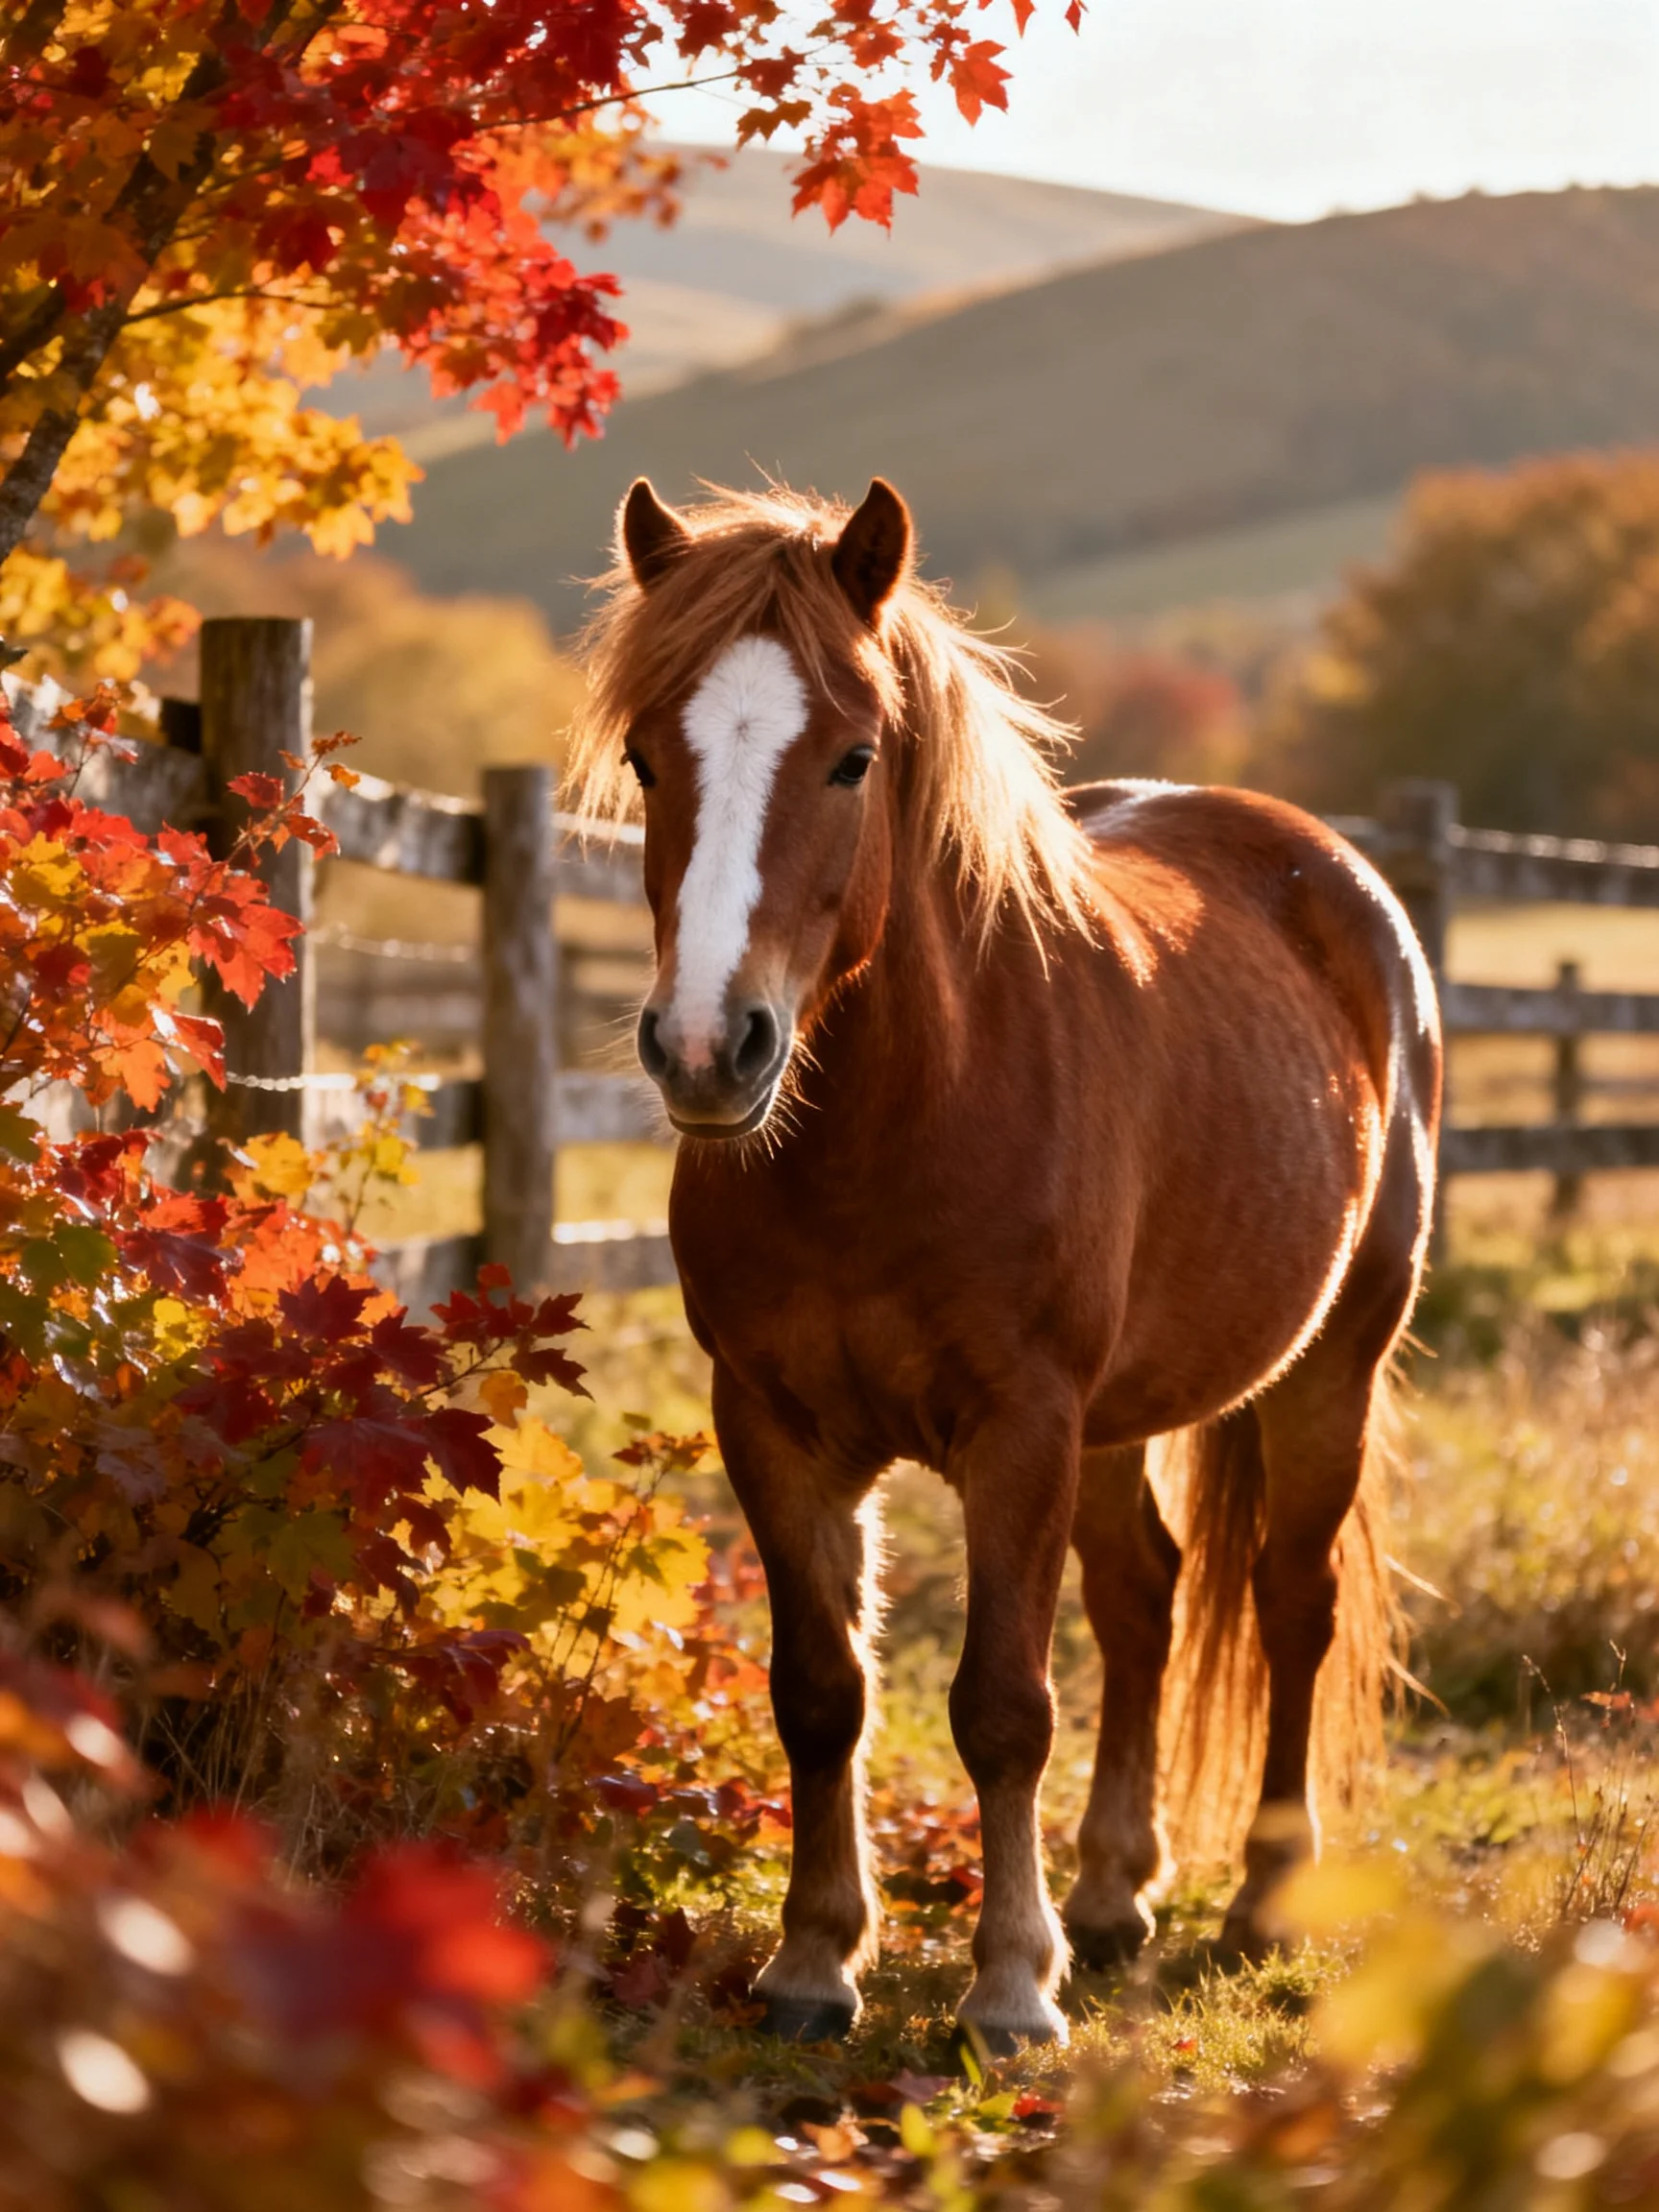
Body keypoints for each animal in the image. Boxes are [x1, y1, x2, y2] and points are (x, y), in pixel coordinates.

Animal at [568, 475, 1442, 2050]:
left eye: (853, 759)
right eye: (647, 760)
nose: (705, 1049)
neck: (898, 1122)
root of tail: (1341, 880)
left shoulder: (1020, 1426)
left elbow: (1004, 1705)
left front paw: (1010, 1991)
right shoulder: (774, 1424)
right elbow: (820, 1690)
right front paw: (813, 1964)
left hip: (1330, 1368)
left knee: (1290, 1602)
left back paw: (1262, 1900)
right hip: (1117, 1421)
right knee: (1146, 1596)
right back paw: (1109, 1895)